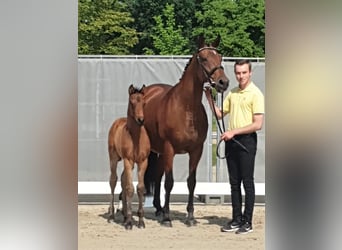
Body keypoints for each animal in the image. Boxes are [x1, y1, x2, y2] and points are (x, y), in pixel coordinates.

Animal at [107, 85, 150, 229]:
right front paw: (130, 223)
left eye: (144, 102)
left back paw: (125, 215)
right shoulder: (128, 161)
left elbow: (140, 188)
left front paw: (140, 221)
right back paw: (112, 215)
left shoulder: (143, 162)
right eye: (132, 102)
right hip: (114, 158)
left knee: (122, 180)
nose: (141, 120)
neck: (136, 138)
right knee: (113, 180)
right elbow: (130, 188)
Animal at [143, 34, 228, 227]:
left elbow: (191, 182)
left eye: (220, 58)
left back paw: (158, 208)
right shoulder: (169, 149)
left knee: (157, 175)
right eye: (203, 58)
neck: (186, 108)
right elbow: (169, 182)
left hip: (160, 152)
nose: (223, 82)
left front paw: (190, 217)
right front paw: (168, 218)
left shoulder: (196, 151)